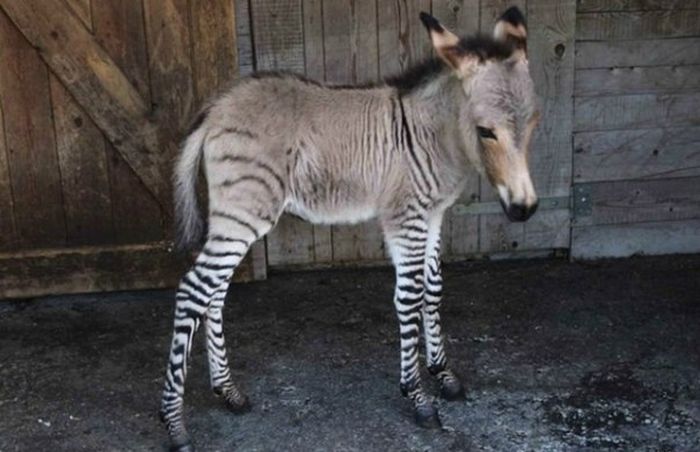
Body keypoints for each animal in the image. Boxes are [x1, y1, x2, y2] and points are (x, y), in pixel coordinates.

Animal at [161, 7, 540, 452]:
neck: (435, 135)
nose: (524, 209)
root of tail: (217, 108)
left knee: (214, 295)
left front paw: (443, 375)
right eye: (486, 132)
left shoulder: (432, 216)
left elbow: (434, 290)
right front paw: (417, 396)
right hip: (244, 210)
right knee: (193, 291)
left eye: (533, 124)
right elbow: (409, 298)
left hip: (233, 215)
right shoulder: (405, 218)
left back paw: (228, 393)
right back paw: (174, 425)